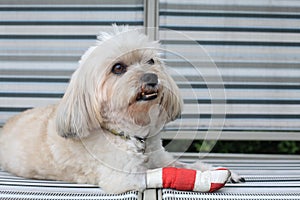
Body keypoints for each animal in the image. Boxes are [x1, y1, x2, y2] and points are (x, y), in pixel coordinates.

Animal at [0, 25, 244, 194]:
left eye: (151, 61)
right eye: (118, 68)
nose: (151, 77)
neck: (134, 134)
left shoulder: (161, 157)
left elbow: (183, 165)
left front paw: (214, 170)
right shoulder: (123, 177)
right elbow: (159, 173)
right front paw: (208, 178)